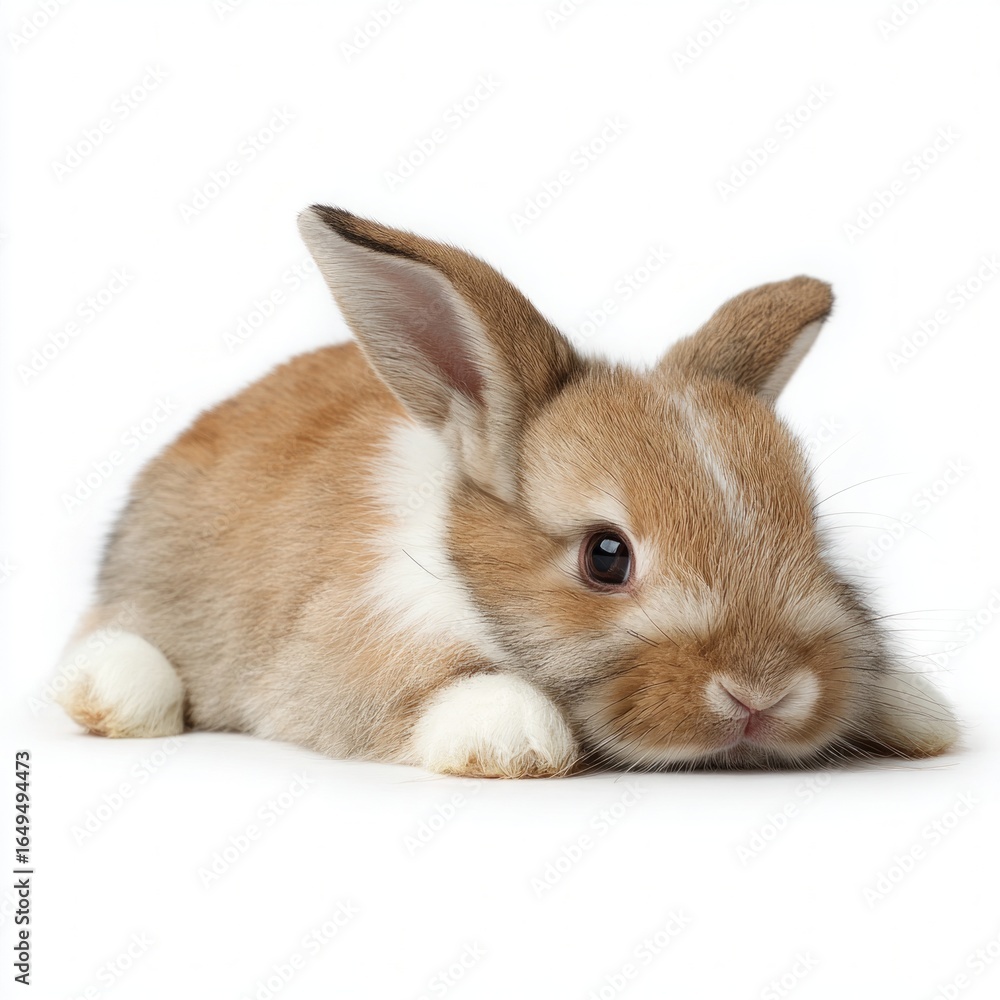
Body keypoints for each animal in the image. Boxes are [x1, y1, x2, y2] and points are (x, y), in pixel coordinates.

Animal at [55, 205, 959, 777]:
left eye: (815, 540)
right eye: (606, 557)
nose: (765, 691)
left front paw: (919, 712)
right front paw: (512, 741)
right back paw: (114, 697)